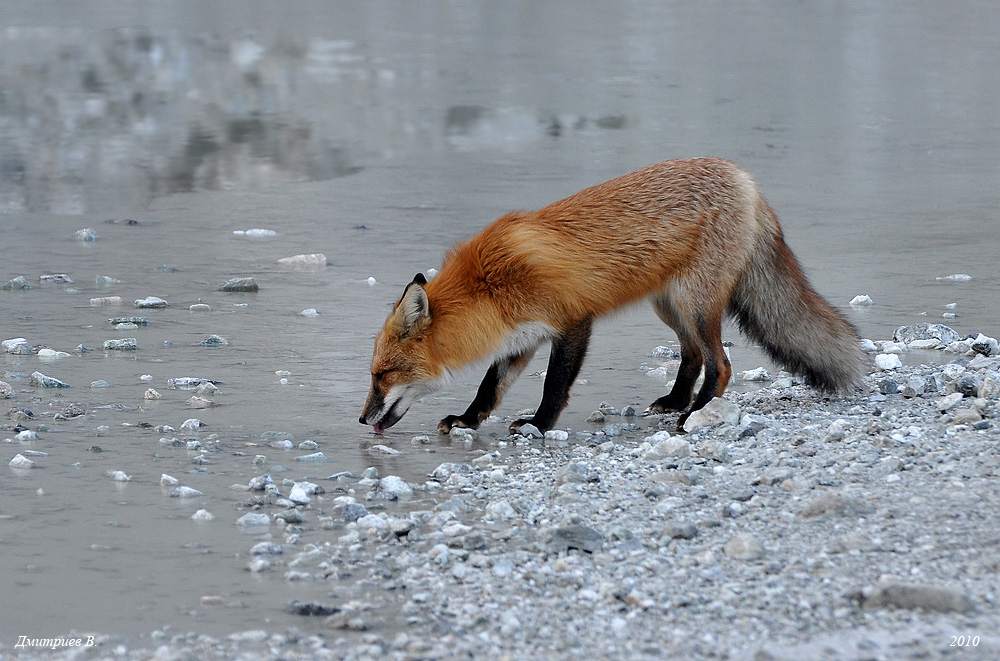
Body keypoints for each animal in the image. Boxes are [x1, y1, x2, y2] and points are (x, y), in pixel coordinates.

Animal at [362, 155, 868, 434]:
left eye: (382, 375)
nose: (363, 421)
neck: (491, 284)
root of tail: (745, 179)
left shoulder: (571, 320)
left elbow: (554, 385)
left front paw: (539, 425)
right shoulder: (522, 335)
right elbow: (491, 385)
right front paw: (468, 420)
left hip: (694, 304)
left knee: (721, 364)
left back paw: (695, 414)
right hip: (669, 307)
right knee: (693, 356)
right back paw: (676, 402)